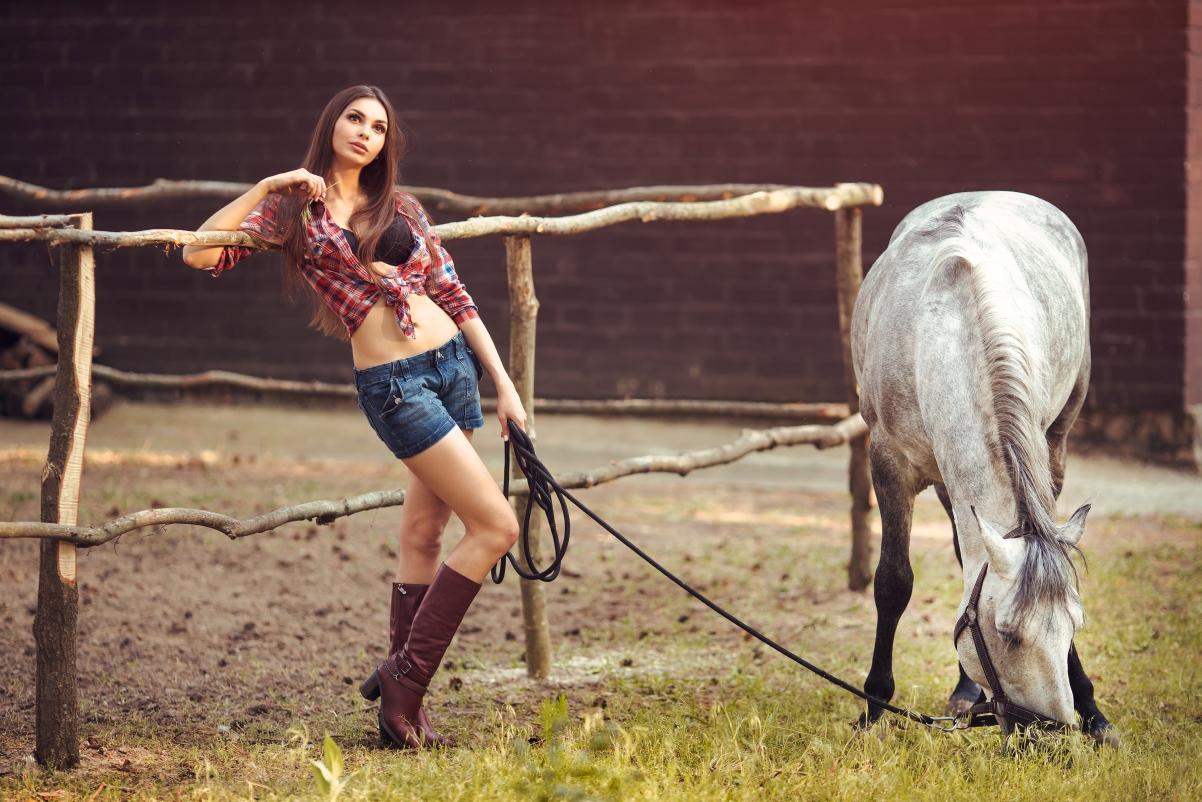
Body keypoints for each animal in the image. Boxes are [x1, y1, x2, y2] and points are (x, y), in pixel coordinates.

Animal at [851, 191, 1110, 745]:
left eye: (1074, 625)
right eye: (1008, 634)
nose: (1051, 740)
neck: (944, 325)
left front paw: (1094, 710)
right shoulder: (888, 464)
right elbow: (892, 582)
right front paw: (873, 707)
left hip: (1054, 441)